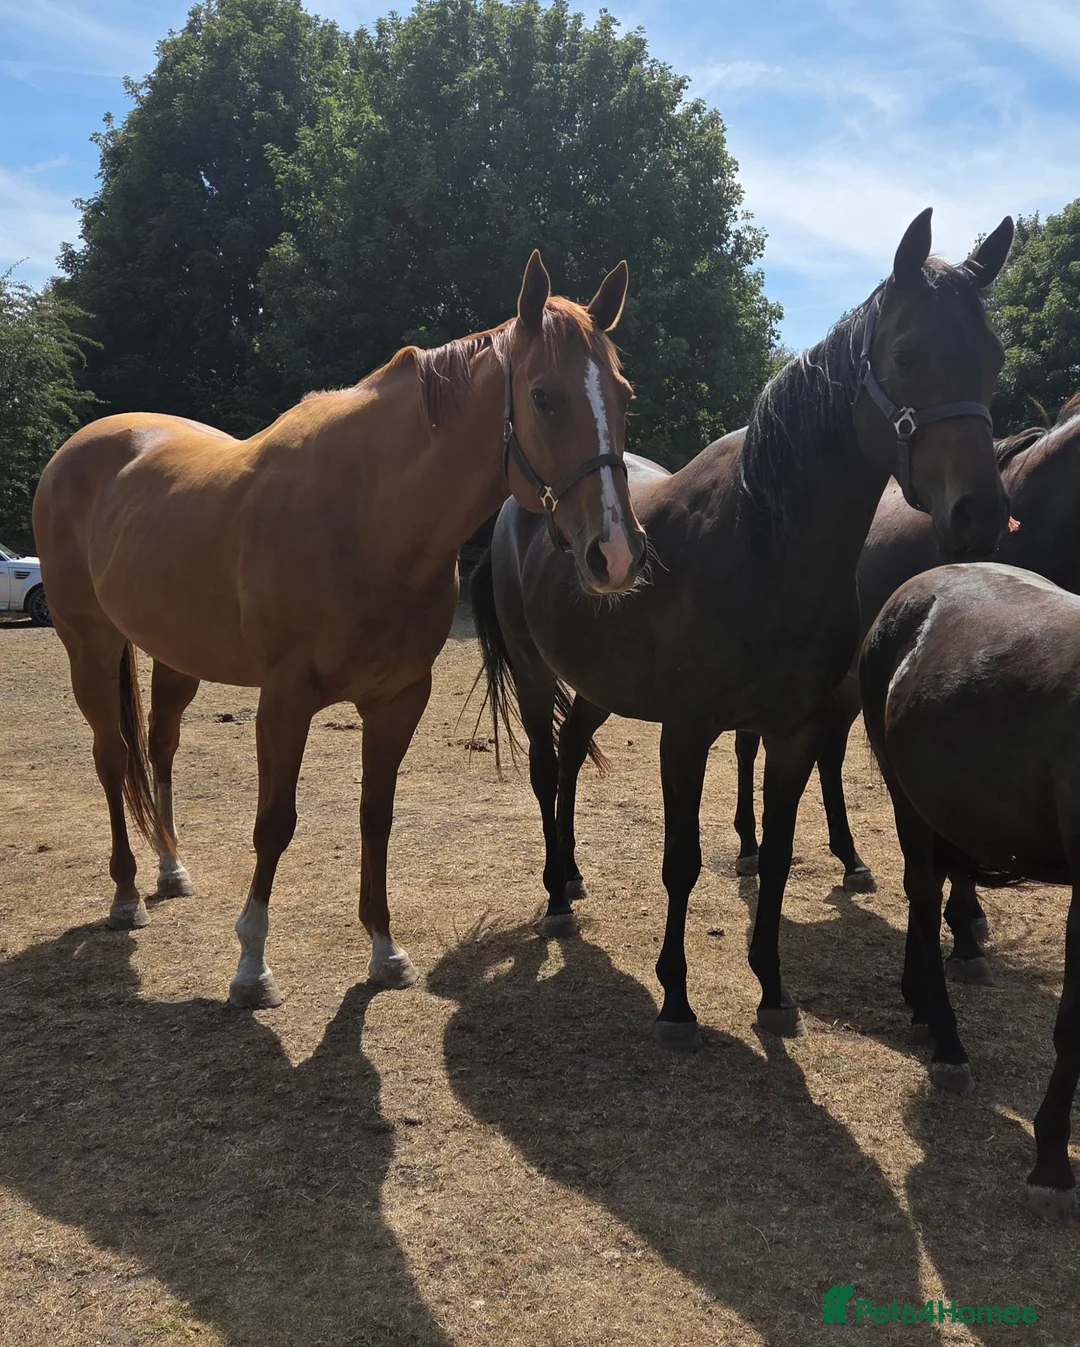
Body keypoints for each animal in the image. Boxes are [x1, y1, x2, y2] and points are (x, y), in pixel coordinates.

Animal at [33, 252, 646, 1009]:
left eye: (624, 396)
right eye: (543, 397)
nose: (615, 554)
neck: (365, 516)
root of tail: (79, 450)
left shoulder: (398, 699)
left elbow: (375, 815)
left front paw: (385, 950)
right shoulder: (284, 700)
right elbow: (275, 822)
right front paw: (252, 966)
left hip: (175, 654)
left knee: (159, 745)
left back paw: (171, 869)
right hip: (88, 643)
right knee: (113, 756)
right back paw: (125, 896)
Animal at [472, 209, 1014, 1048]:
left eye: (991, 359)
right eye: (907, 354)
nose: (979, 512)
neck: (761, 544)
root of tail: (522, 505)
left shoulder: (794, 732)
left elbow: (782, 857)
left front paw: (771, 986)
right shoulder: (686, 730)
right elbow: (682, 861)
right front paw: (675, 995)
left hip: (598, 686)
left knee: (566, 758)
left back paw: (573, 873)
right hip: (534, 673)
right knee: (539, 764)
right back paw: (557, 896)